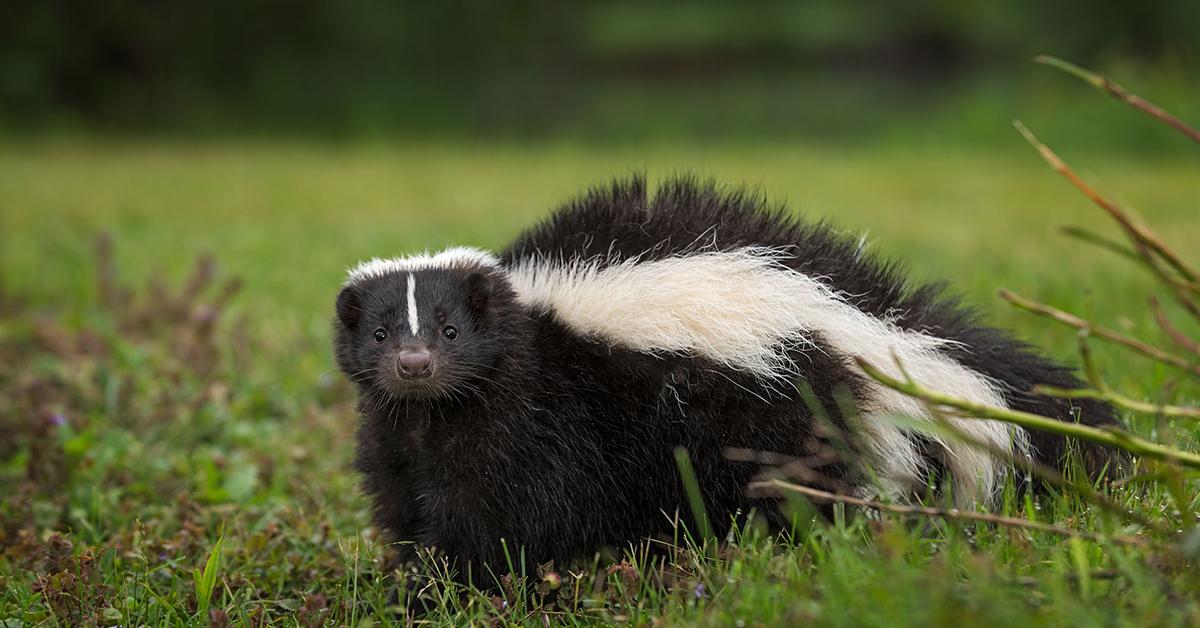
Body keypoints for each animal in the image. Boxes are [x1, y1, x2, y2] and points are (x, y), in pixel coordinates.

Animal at [336, 172, 1123, 585]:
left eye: (450, 331)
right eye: (379, 334)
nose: (414, 366)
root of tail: (868, 320)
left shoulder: (536, 415)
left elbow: (502, 510)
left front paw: (455, 580)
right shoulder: (404, 433)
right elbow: (406, 494)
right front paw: (410, 570)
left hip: (778, 406)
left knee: (801, 491)